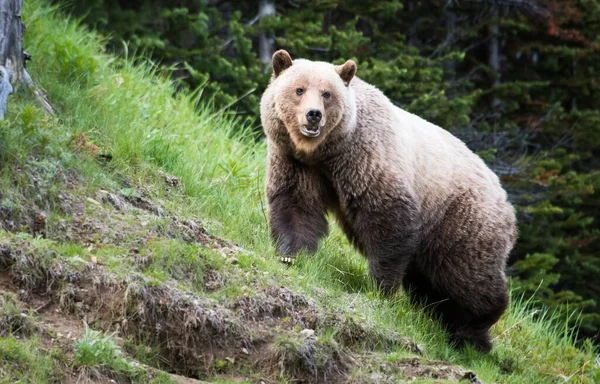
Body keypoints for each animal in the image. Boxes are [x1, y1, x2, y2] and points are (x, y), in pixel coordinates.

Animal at [260, 48, 516, 352]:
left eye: (327, 94)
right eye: (299, 89)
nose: (313, 115)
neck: (326, 152)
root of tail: (504, 195)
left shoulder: (366, 159)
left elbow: (388, 218)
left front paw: (381, 287)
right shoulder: (298, 163)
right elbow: (296, 205)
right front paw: (291, 254)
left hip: (461, 216)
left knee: (468, 276)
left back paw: (474, 332)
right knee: (432, 283)